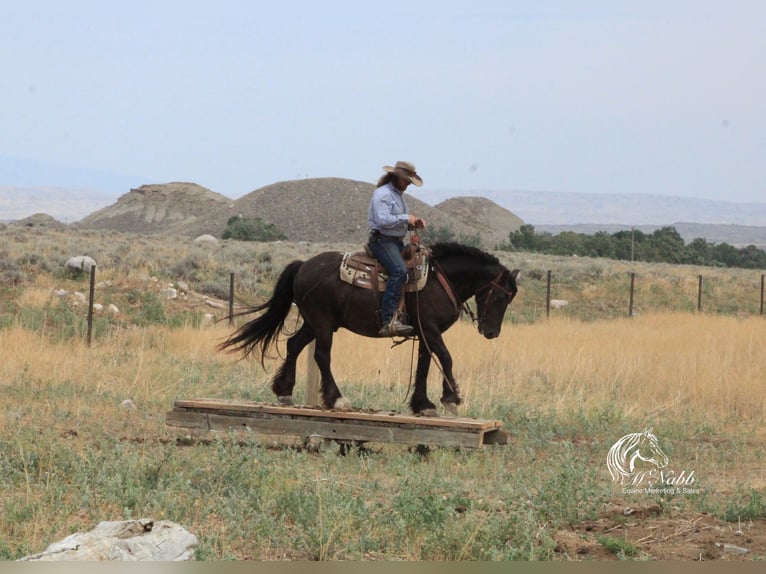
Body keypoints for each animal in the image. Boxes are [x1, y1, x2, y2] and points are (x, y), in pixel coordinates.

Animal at [222, 242, 520, 414]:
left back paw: (284, 391)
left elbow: (424, 365)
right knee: (321, 356)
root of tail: (303, 265)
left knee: (293, 345)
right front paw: (451, 398)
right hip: (323, 323)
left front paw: (422, 404)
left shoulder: (425, 334)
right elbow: (445, 358)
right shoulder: (431, 329)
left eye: (509, 298)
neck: (440, 279)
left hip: (313, 322)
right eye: (501, 296)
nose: (491, 332)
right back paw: (337, 399)